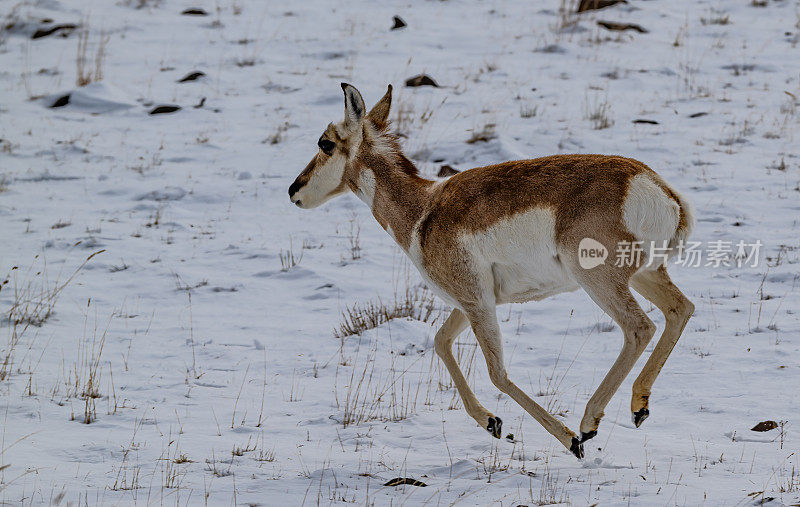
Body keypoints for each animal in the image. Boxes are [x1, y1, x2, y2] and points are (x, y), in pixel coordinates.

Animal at [290, 84, 692, 460]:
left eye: (325, 143)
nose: (294, 190)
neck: (423, 210)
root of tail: (657, 189)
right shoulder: (472, 303)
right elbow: (440, 341)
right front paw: (491, 422)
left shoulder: (476, 302)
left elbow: (496, 372)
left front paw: (568, 440)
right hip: (645, 275)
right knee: (680, 309)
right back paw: (638, 407)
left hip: (600, 281)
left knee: (640, 328)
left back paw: (587, 424)